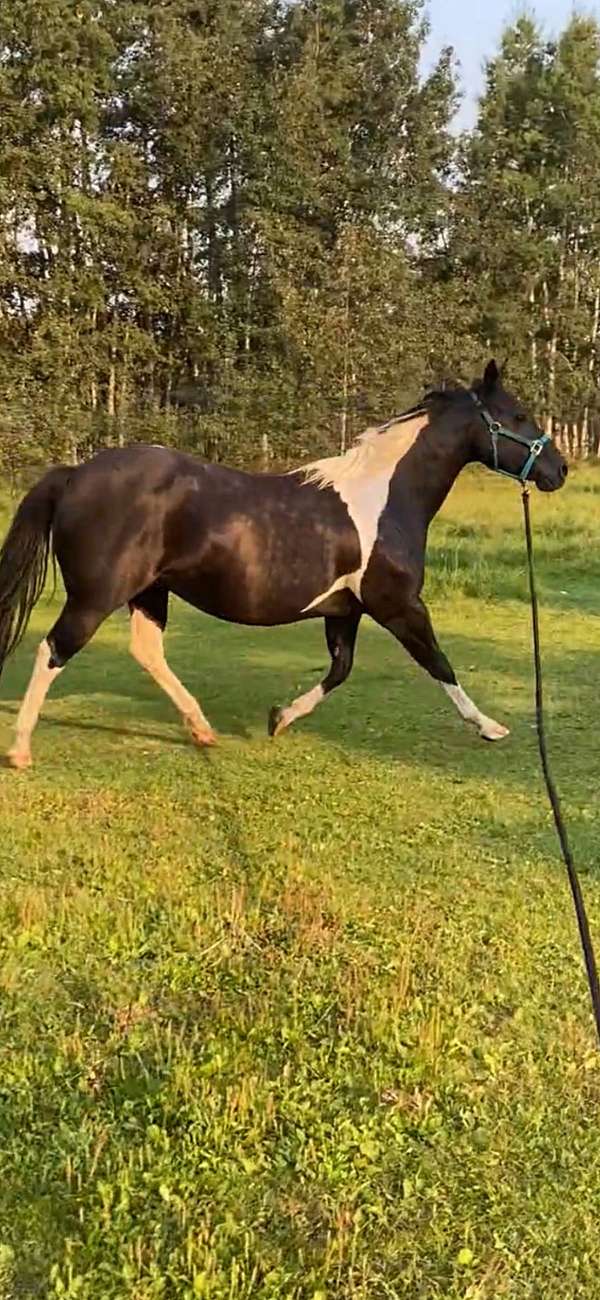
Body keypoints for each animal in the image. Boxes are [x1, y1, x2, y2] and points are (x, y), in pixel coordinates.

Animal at [0, 356, 566, 764]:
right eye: (517, 415)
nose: (557, 470)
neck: (385, 498)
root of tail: (75, 474)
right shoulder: (399, 605)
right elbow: (438, 663)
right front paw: (490, 727)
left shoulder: (346, 611)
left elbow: (340, 670)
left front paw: (280, 718)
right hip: (96, 596)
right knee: (53, 650)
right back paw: (22, 750)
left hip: (149, 591)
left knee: (145, 651)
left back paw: (202, 730)